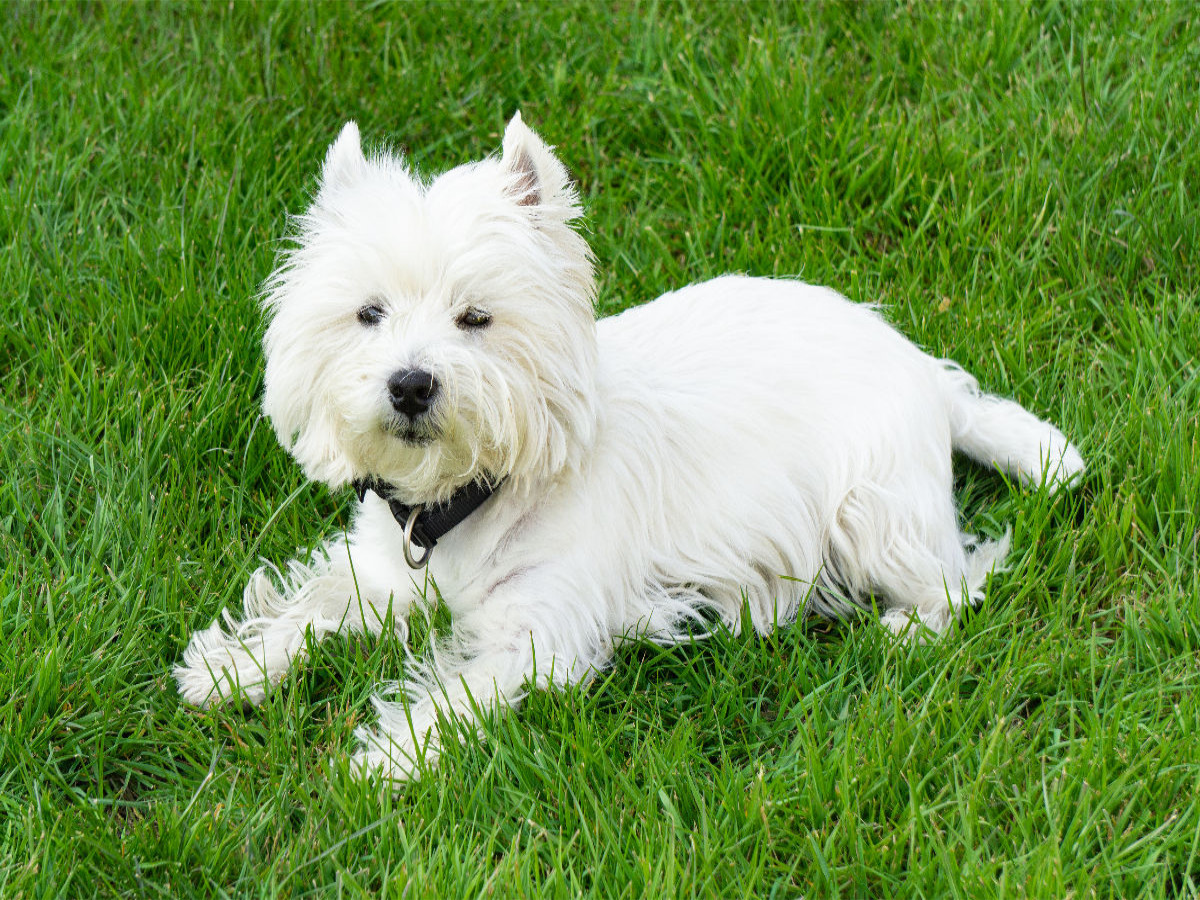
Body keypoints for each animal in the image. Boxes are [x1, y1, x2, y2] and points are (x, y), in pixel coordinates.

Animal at [177, 114, 1089, 782]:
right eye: (368, 313)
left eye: (476, 318)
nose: (409, 385)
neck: (472, 495)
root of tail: (924, 371)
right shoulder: (381, 571)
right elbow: (313, 604)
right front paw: (232, 670)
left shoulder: (542, 633)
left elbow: (455, 693)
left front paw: (384, 758)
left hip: (873, 510)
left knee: (959, 578)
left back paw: (901, 629)